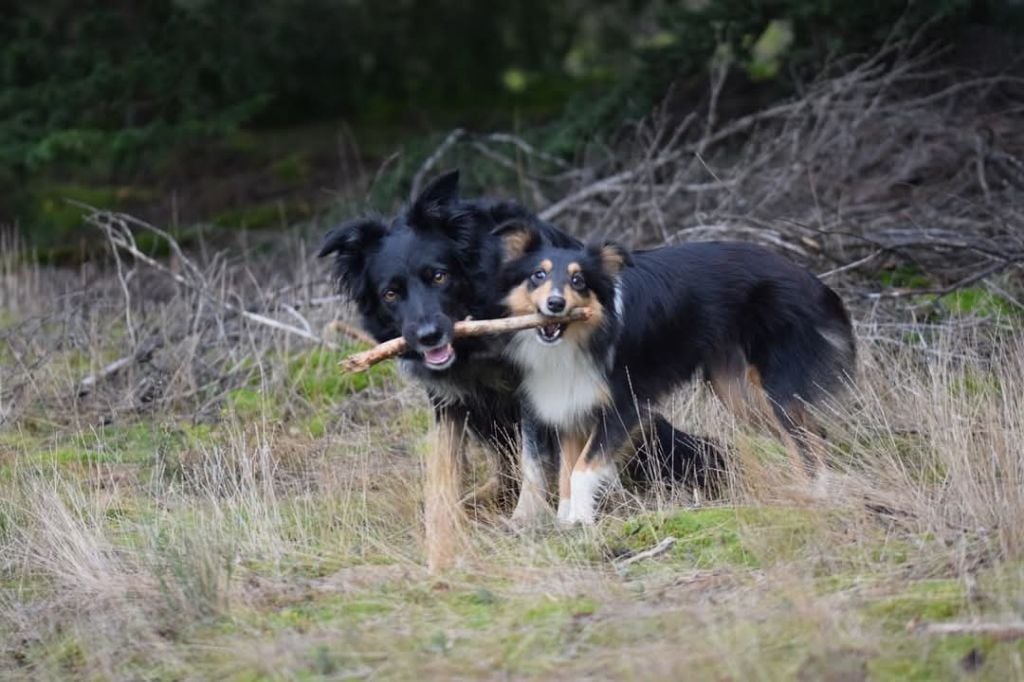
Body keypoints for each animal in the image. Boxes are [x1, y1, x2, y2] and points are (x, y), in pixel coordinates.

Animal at [495, 222, 856, 520]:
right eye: (538, 276)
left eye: (578, 280)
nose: (555, 304)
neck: (586, 336)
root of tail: (813, 281)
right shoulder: (572, 405)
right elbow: (566, 475)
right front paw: (567, 524)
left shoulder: (625, 404)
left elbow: (582, 470)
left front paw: (582, 525)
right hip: (736, 391)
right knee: (809, 435)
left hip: (775, 384)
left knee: (808, 437)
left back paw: (816, 498)